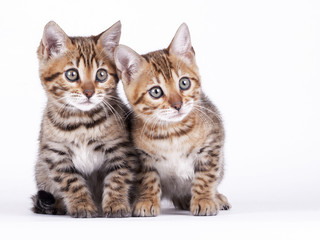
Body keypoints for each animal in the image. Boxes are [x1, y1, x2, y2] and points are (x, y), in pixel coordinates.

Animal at [31, 21, 137, 218]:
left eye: (101, 75)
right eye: (72, 74)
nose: (89, 92)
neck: (81, 122)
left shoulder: (121, 149)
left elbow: (117, 178)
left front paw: (116, 204)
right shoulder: (56, 154)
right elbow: (71, 182)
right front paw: (82, 205)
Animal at [114, 23, 230, 217]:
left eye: (184, 83)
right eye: (156, 92)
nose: (177, 105)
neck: (173, 132)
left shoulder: (212, 142)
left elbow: (206, 175)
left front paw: (204, 199)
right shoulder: (141, 156)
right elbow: (148, 179)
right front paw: (147, 200)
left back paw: (215, 197)